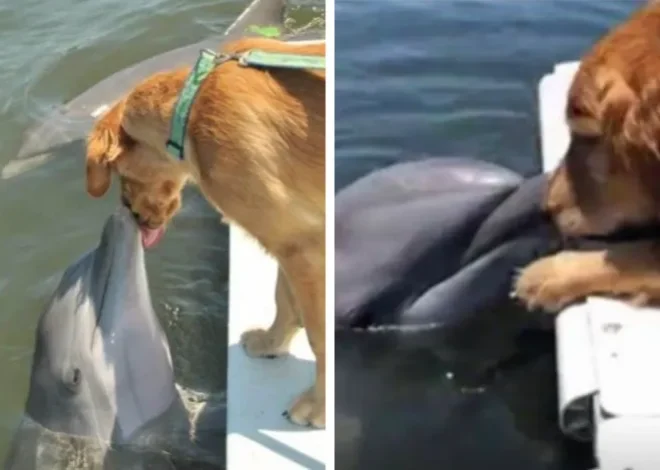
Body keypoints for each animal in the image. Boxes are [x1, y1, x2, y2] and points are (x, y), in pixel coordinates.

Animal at [85, 35, 324, 426]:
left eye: (120, 173)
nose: (132, 215)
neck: (190, 110)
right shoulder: (291, 236)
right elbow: (284, 299)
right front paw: (270, 344)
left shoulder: (306, 247)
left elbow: (319, 335)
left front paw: (318, 406)